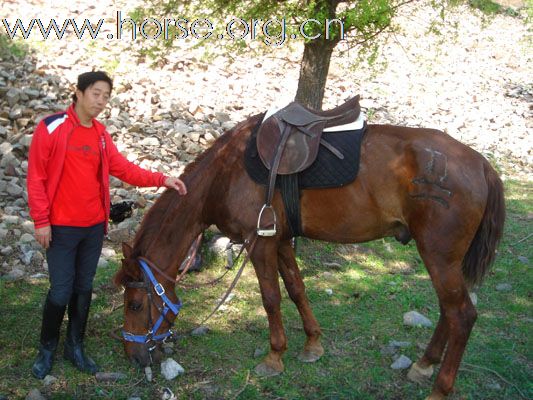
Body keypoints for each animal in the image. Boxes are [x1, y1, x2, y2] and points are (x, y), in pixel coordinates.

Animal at [112, 110, 502, 400]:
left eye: (134, 303)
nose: (133, 355)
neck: (227, 172)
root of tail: (480, 163)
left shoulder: (260, 245)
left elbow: (271, 299)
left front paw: (274, 357)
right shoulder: (282, 241)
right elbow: (297, 289)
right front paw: (313, 344)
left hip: (438, 256)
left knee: (462, 315)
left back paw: (439, 387)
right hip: (443, 260)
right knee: (449, 311)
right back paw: (424, 364)